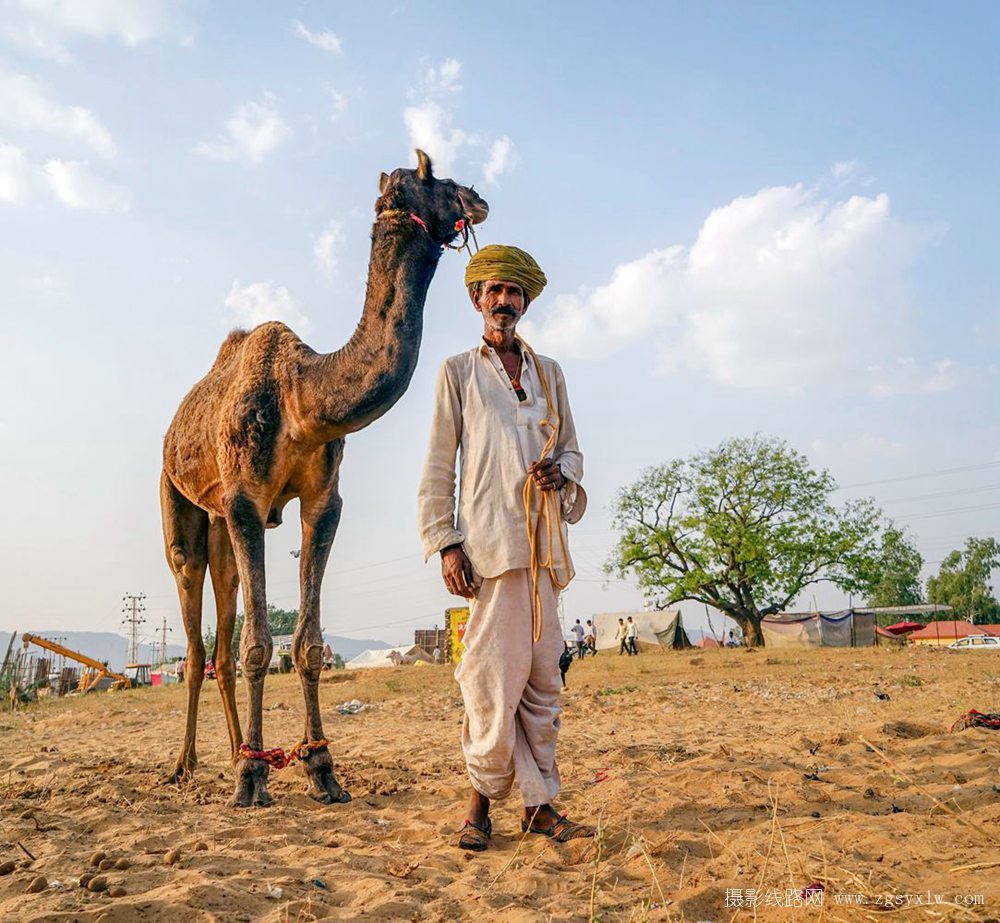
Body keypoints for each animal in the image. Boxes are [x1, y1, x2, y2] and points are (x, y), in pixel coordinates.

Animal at [159, 148, 488, 804]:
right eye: (435, 176)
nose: (479, 197)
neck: (302, 396)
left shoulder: (322, 501)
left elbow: (307, 645)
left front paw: (320, 768)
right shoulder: (246, 497)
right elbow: (262, 645)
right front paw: (254, 778)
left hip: (218, 522)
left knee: (221, 635)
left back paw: (234, 750)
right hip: (177, 501)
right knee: (194, 627)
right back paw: (189, 764)